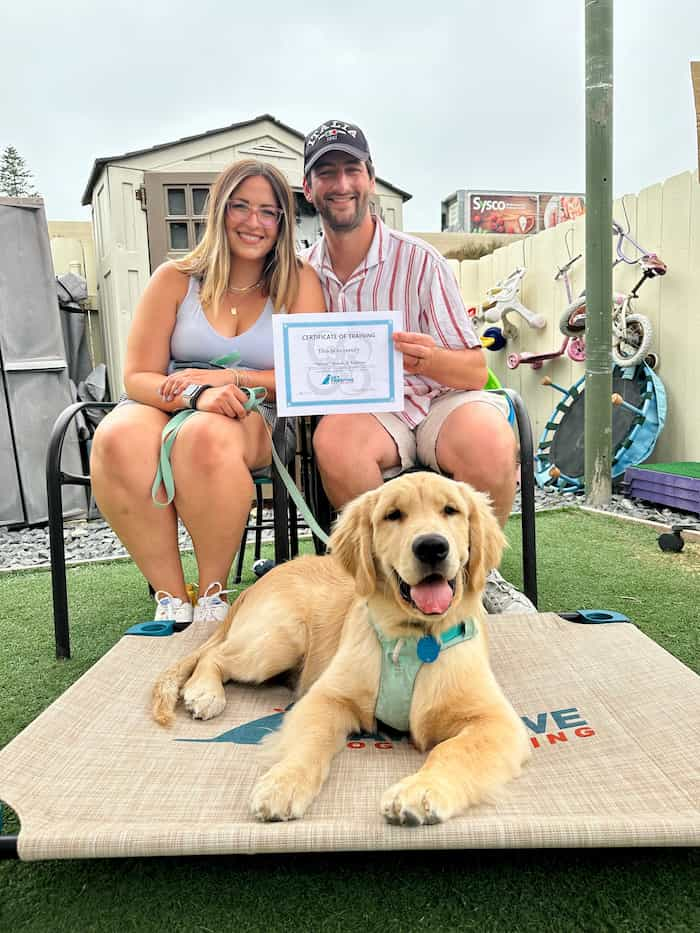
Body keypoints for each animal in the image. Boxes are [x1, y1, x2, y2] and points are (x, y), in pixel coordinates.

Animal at [150, 474, 528, 824]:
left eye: (450, 510)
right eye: (393, 515)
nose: (432, 547)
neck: (412, 638)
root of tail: (266, 577)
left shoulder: (496, 720)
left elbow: (454, 750)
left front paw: (422, 790)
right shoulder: (326, 697)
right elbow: (311, 740)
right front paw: (284, 784)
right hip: (279, 640)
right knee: (214, 655)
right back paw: (205, 693)